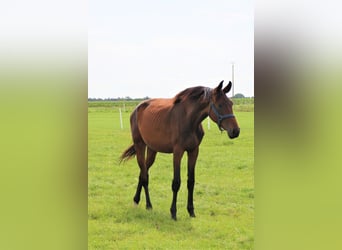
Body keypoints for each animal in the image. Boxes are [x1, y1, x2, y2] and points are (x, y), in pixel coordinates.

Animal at [120, 80, 240, 221]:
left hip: (152, 150)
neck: (189, 120)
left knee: (143, 173)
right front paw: (173, 212)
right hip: (140, 145)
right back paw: (148, 205)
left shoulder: (194, 151)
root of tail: (136, 109)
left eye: (231, 104)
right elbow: (176, 183)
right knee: (144, 176)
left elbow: (191, 181)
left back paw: (136, 200)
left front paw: (191, 211)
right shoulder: (178, 152)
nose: (235, 131)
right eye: (220, 105)